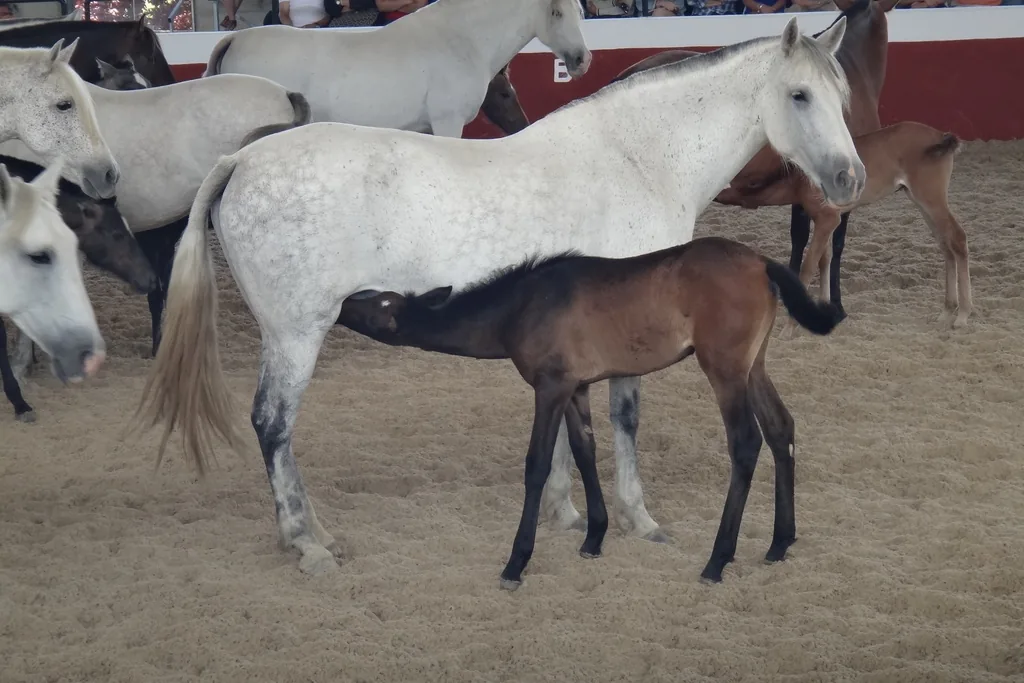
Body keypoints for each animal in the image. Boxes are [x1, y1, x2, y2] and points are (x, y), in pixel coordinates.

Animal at [204, 0, 590, 138]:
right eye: (557, 12)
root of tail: (234, 39)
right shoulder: (446, 123)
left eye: (580, 10)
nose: (581, 60)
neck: (462, 39)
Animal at [337, 236, 844, 587]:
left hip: (724, 369)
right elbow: (584, 451)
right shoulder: (577, 387)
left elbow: (538, 464)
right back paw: (779, 543)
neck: (521, 306)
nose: (341, 302)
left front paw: (516, 563)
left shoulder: (551, 387)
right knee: (781, 429)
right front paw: (594, 537)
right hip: (753, 366)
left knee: (746, 444)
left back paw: (717, 559)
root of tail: (761, 262)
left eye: (381, 303)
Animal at [716, 121, 972, 329]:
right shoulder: (828, 221)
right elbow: (825, 260)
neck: (800, 176)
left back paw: (962, 315)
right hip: (920, 201)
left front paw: (790, 327)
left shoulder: (827, 219)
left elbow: (808, 267)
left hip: (931, 199)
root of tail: (941, 135)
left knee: (958, 238)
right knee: (945, 244)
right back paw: (947, 311)